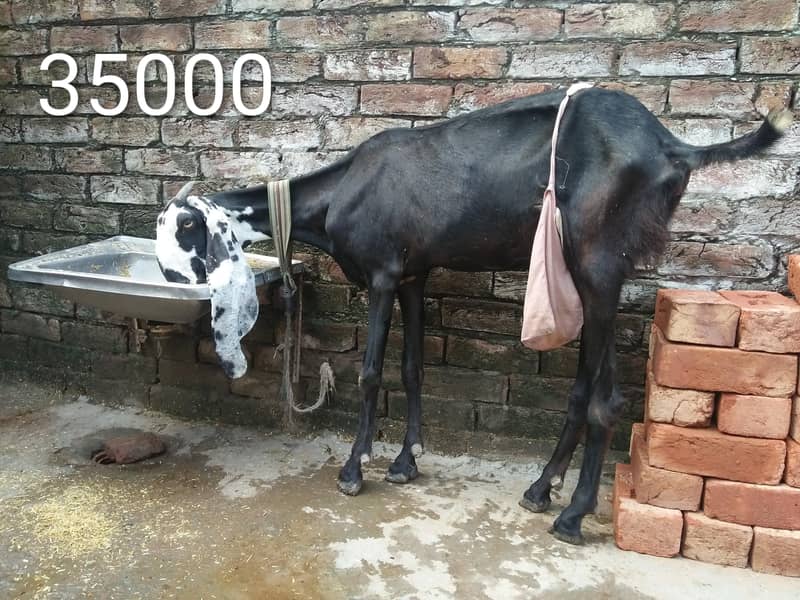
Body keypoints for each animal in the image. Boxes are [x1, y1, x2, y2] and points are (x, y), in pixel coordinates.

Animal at [156, 87, 791, 545]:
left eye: (186, 225)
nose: (166, 277)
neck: (341, 192)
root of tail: (670, 145)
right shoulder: (414, 276)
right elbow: (412, 369)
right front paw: (406, 462)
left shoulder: (383, 273)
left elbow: (371, 373)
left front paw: (355, 469)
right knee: (582, 388)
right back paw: (541, 488)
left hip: (599, 264)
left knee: (607, 398)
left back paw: (572, 517)